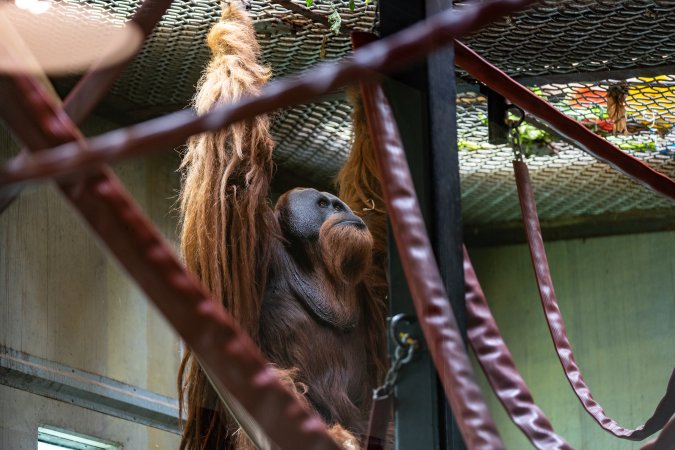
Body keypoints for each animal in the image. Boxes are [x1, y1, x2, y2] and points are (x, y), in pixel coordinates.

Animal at [177, 2, 388, 449]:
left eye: (337, 202)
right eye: (323, 204)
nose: (340, 206)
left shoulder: (371, 269)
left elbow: (375, 191)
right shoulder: (255, 249)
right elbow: (235, 164)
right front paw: (233, 18)